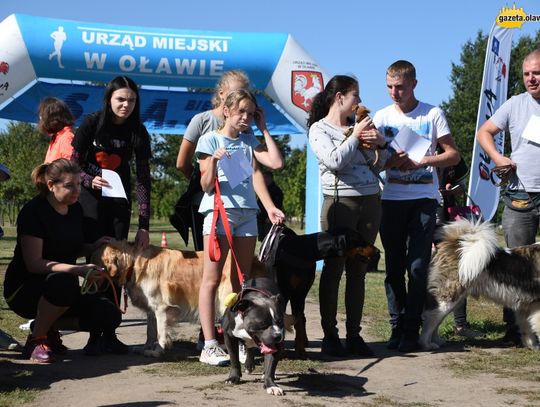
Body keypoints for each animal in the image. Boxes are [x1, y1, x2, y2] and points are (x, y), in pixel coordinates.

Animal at [260, 228, 378, 358]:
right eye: (359, 239)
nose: (378, 251)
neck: (302, 250)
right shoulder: (283, 293)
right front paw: (281, 352)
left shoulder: (300, 293)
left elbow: (299, 321)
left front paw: (300, 350)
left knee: (302, 317)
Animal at [420, 220, 540, 350]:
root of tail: (455, 244)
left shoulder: (528, 305)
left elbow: (527, 329)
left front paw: (532, 345)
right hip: (448, 297)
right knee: (430, 319)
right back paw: (426, 344)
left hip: (454, 300)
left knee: (436, 320)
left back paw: (437, 341)